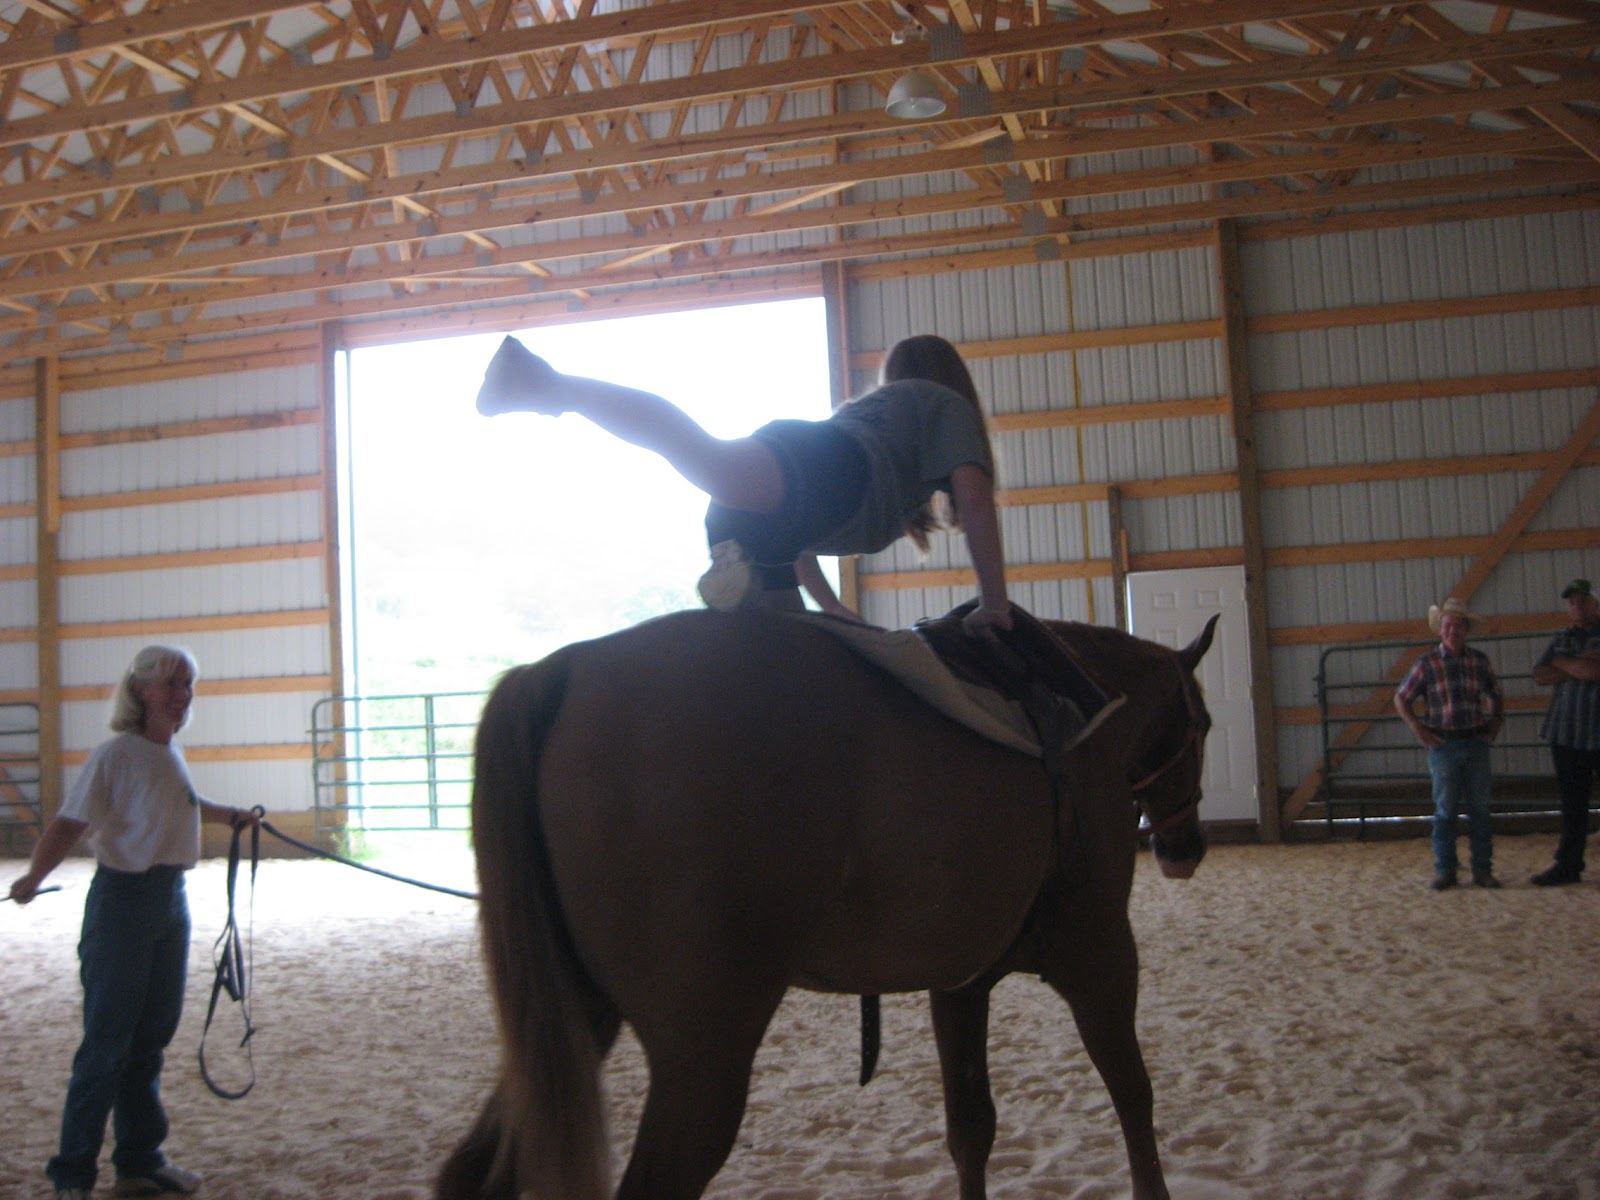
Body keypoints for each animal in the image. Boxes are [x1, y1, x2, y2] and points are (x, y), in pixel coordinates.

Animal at [437, 608, 1216, 1200]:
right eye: (1205, 723)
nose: (1185, 847)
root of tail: (564, 670)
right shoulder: (1101, 954)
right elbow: (1134, 1094)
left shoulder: (961, 983)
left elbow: (972, 1128)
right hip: (702, 1060)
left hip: (578, 1015)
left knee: (474, 1173)